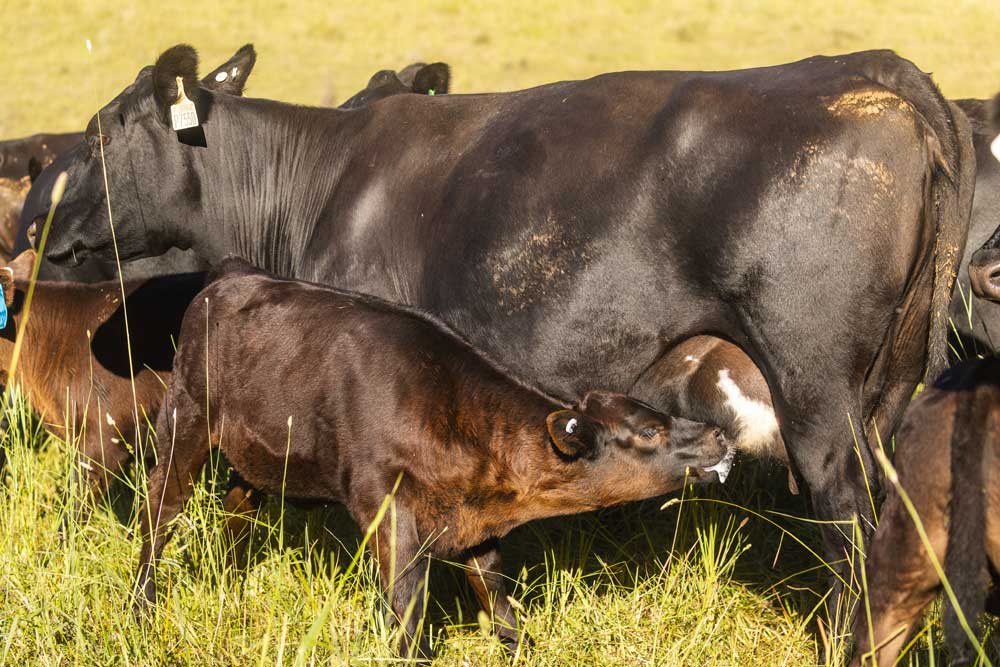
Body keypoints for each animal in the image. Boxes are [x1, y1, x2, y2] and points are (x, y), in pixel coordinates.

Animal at [40, 45, 976, 617]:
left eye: (96, 133)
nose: (34, 223)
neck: (319, 181)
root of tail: (872, 74)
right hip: (883, 395)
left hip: (820, 401)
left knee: (848, 527)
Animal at [133, 257, 731, 660]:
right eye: (650, 429)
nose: (720, 434)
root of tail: (234, 275)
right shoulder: (387, 511)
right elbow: (408, 608)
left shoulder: (476, 528)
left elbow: (498, 600)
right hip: (185, 422)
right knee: (158, 512)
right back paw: (142, 607)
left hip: (255, 458)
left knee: (236, 510)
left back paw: (228, 583)